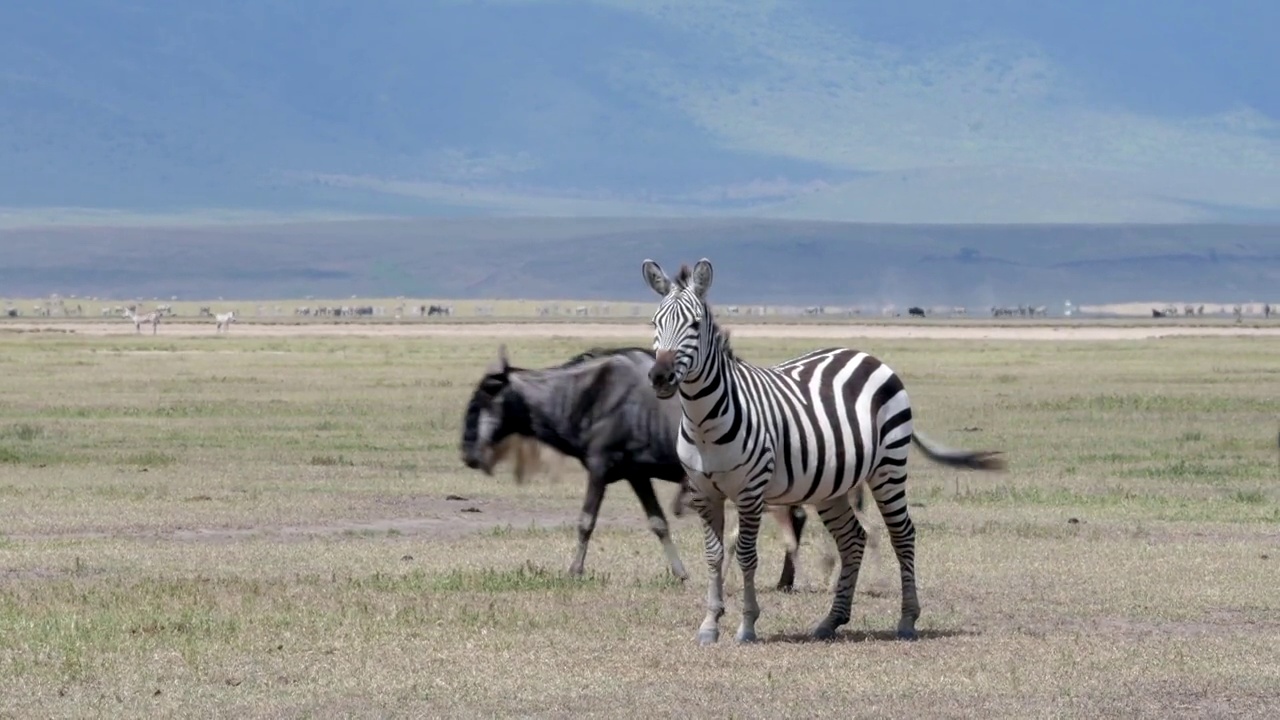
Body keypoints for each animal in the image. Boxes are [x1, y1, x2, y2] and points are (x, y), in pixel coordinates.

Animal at [640, 258, 1008, 645]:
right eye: (654, 322)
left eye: (695, 325)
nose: (660, 376)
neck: (704, 423)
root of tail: (866, 355)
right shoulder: (704, 492)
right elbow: (713, 556)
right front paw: (710, 624)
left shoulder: (750, 492)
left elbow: (746, 555)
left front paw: (747, 625)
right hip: (831, 486)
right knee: (853, 539)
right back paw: (831, 620)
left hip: (889, 468)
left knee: (902, 534)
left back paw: (907, 619)